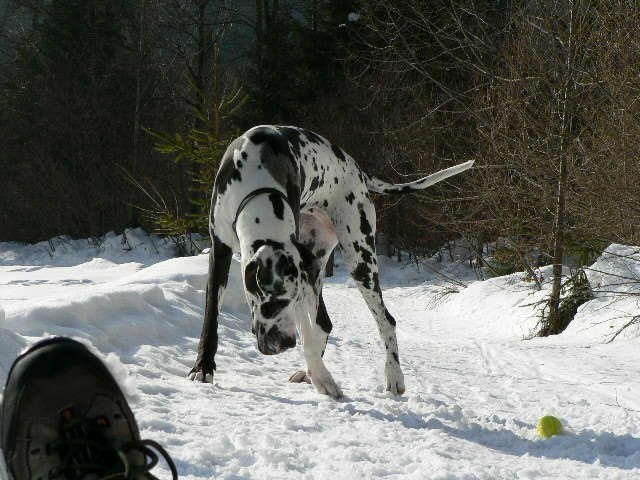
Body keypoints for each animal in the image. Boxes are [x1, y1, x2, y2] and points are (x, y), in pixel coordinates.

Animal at [188, 124, 472, 398]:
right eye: (274, 302)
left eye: (286, 300)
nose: (286, 343)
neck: (257, 179)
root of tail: (360, 172)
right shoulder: (220, 253)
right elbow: (210, 320)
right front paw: (202, 368)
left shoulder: (302, 286)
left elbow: (308, 336)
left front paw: (323, 378)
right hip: (317, 265)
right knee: (323, 323)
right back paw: (309, 371)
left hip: (359, 261)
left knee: (383, 321)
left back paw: (392, 377)